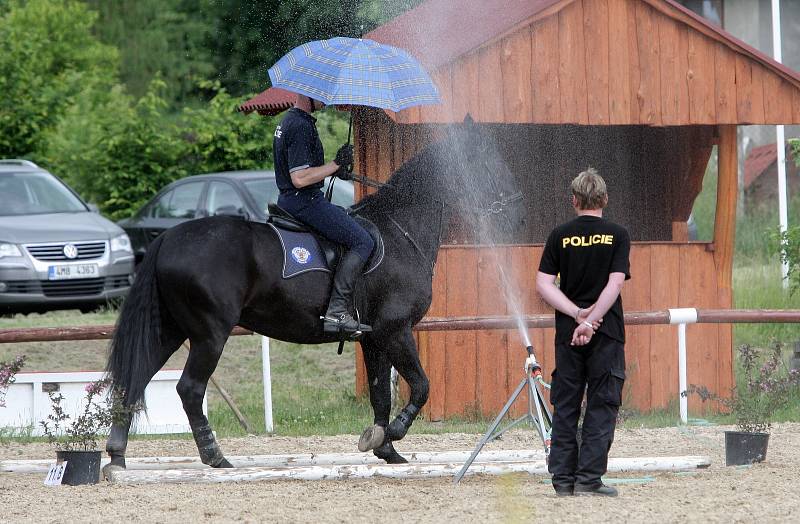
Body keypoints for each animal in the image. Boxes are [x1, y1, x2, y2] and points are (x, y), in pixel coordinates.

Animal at [104, 124, 524, 470]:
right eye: (482, 160)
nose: (515, 205)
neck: (400, 231)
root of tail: (168, 237)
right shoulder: (395, 330)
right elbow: (421, 386)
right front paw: (393, 433)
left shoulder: (373, 338)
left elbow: (380, 395)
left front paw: (384, 447)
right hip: (210, 334)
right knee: (189, 390)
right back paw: (215, 456)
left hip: (170, 330)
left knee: (136, 379)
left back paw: (117, 456)